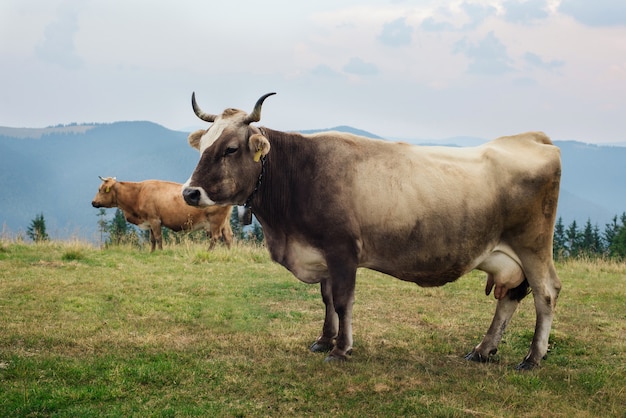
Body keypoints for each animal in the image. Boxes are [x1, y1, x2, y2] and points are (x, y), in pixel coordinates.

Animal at [95, 176, 234, 251]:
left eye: (101, 189)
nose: (93, 202)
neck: (138, 194)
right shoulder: (149, 221)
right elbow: (152, 239)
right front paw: (152, 252)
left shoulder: (155, 220)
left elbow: (158, 237)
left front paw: (160, 251)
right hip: (225, 222)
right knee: (228, 236)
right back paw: (229, 252)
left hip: (216, 220)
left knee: (216, 237)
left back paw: (209, 252)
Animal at [180, 92, 560, 370]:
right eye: (203, 146)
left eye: (230, 149)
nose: (189, 193)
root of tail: (532, 138)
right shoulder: (321, 253)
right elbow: (326, 299)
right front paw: (324, 340)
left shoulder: (342, 250)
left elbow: (342, 300)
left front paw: (341, 349)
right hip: (506, 256)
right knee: (509, 299)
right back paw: (483, 349)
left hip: (533, 247)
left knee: (546, 294)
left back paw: (532, 358)